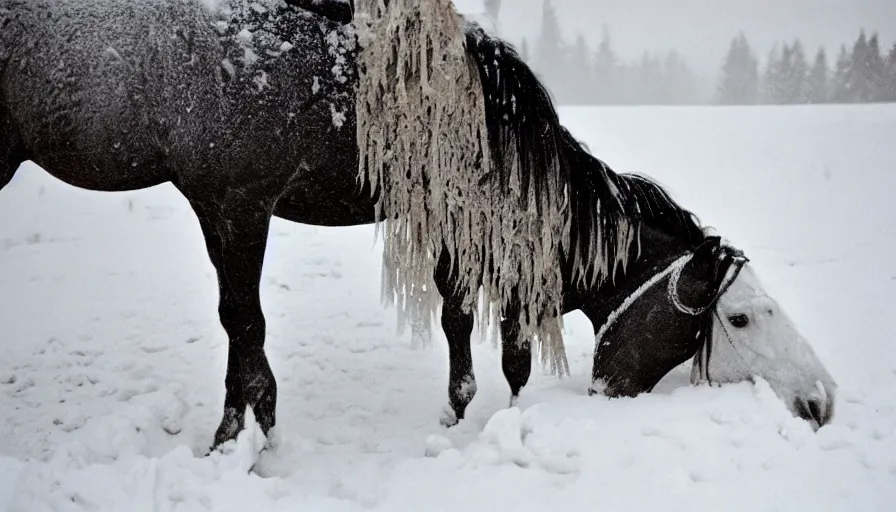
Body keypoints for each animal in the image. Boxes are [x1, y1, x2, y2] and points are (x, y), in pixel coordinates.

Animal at [0, 0, 836, 452]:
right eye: (741, 317)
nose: (820, 403)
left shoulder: (451, 220)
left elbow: (468, 325)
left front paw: (465, 414)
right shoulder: (232, 205)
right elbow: (246, 327)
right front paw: (248, 440)